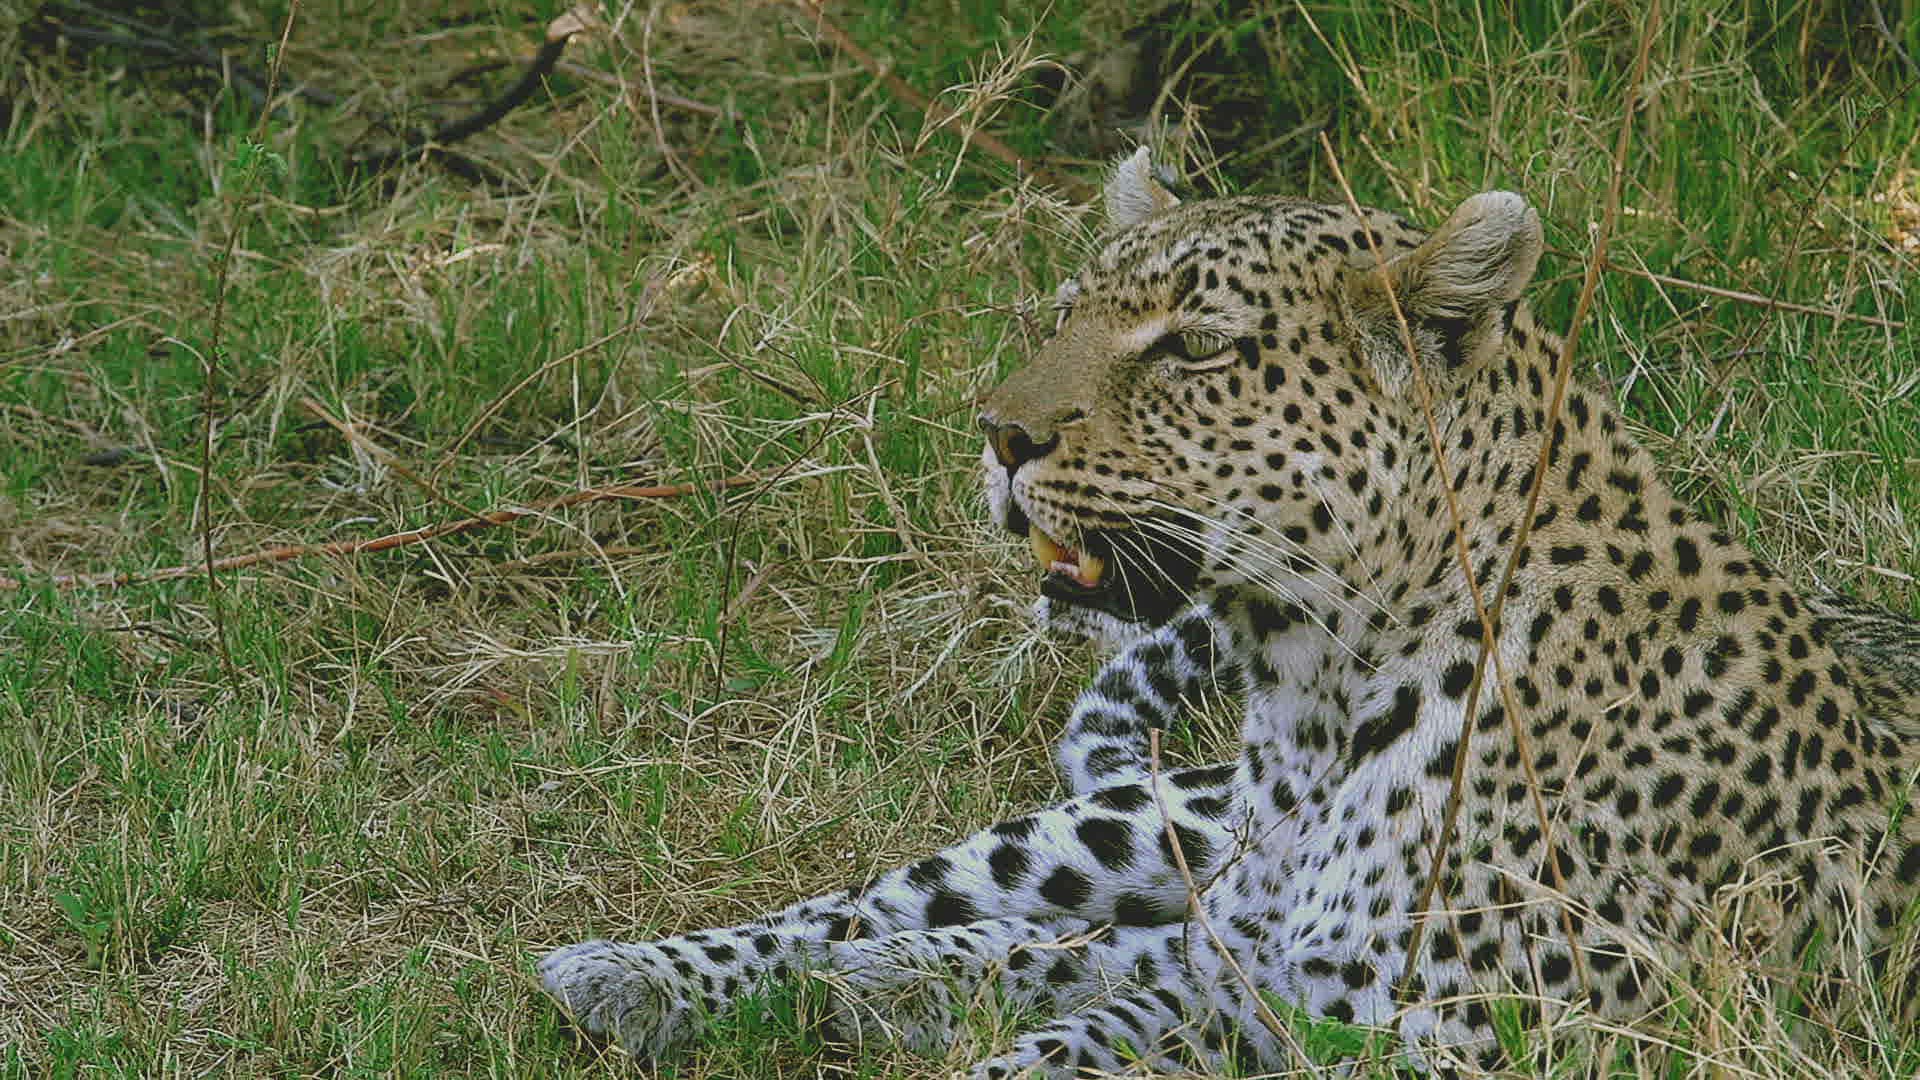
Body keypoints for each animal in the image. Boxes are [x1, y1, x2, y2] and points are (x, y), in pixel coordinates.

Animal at [539, 148, 1920, 1076]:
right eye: (1066, 317)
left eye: (1194, 349)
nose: (999, 435)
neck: (1318, 691)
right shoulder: (1260, 982)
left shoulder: (1413, 1036)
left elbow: (1083, 1034)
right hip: (1147, 829)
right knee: (899, 903)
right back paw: (643, 972)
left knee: (1079, 945)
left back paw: (887, 984)